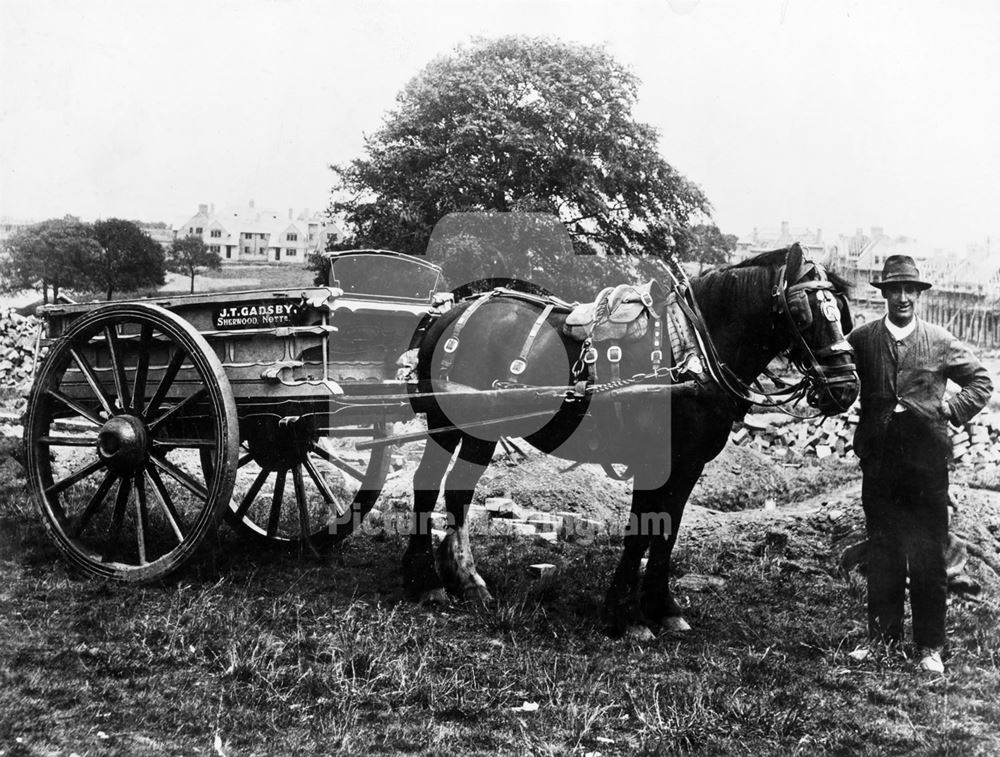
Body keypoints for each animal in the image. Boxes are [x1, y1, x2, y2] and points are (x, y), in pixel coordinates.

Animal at [402, 244, 856, 636]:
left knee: (454, 491)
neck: (691, 354)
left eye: (841, 312)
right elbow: (641, 530)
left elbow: (667, 529)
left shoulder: (688, 463)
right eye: (803, 311)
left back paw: (462, 578)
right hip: (457, 422)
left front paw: (662, 608)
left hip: (470, 428)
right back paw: (427, 580)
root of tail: (451, 310)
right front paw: (624, 615)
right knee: (432, 487)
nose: (847, 386)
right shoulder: (655, 461)